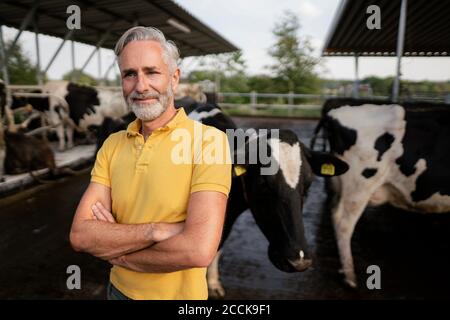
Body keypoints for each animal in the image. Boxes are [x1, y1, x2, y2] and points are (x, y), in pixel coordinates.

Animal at [96, 97, 348, 298]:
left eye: (309, 184)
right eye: (263, 185)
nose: (299, 259)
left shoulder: (227, 216)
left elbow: (216, 246)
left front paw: (214, 283)